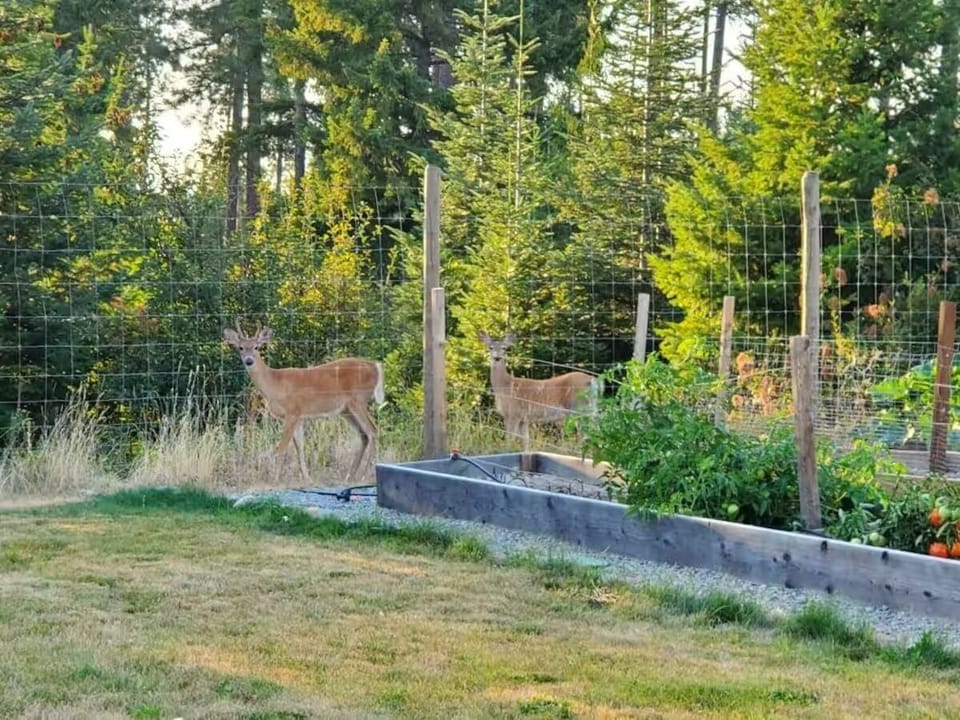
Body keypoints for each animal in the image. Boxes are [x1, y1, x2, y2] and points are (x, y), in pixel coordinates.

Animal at [222, 321, 385, 485]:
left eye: (257, 347)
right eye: (241, 347)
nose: (249, 360)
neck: (275, 384)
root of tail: (374, 366)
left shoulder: (292, 411)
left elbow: (281, 448)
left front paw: (275, 479)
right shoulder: (300, 416)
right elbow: (299, 447)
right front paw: (307, 478)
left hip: (358, 400)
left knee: (372, 431)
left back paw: (363, 475)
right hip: (346, 410)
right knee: (363, 434)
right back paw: (350, 476)